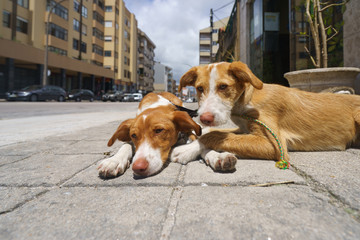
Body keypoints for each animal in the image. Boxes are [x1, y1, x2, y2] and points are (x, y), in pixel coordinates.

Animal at [170, 61, 360, 171]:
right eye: (200, 88)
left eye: (223, 87)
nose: (205, 119)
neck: (246, 99)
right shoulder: (244, 129)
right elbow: (213, 133)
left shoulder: (276, 145)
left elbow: (214, 134)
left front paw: (186, 149)